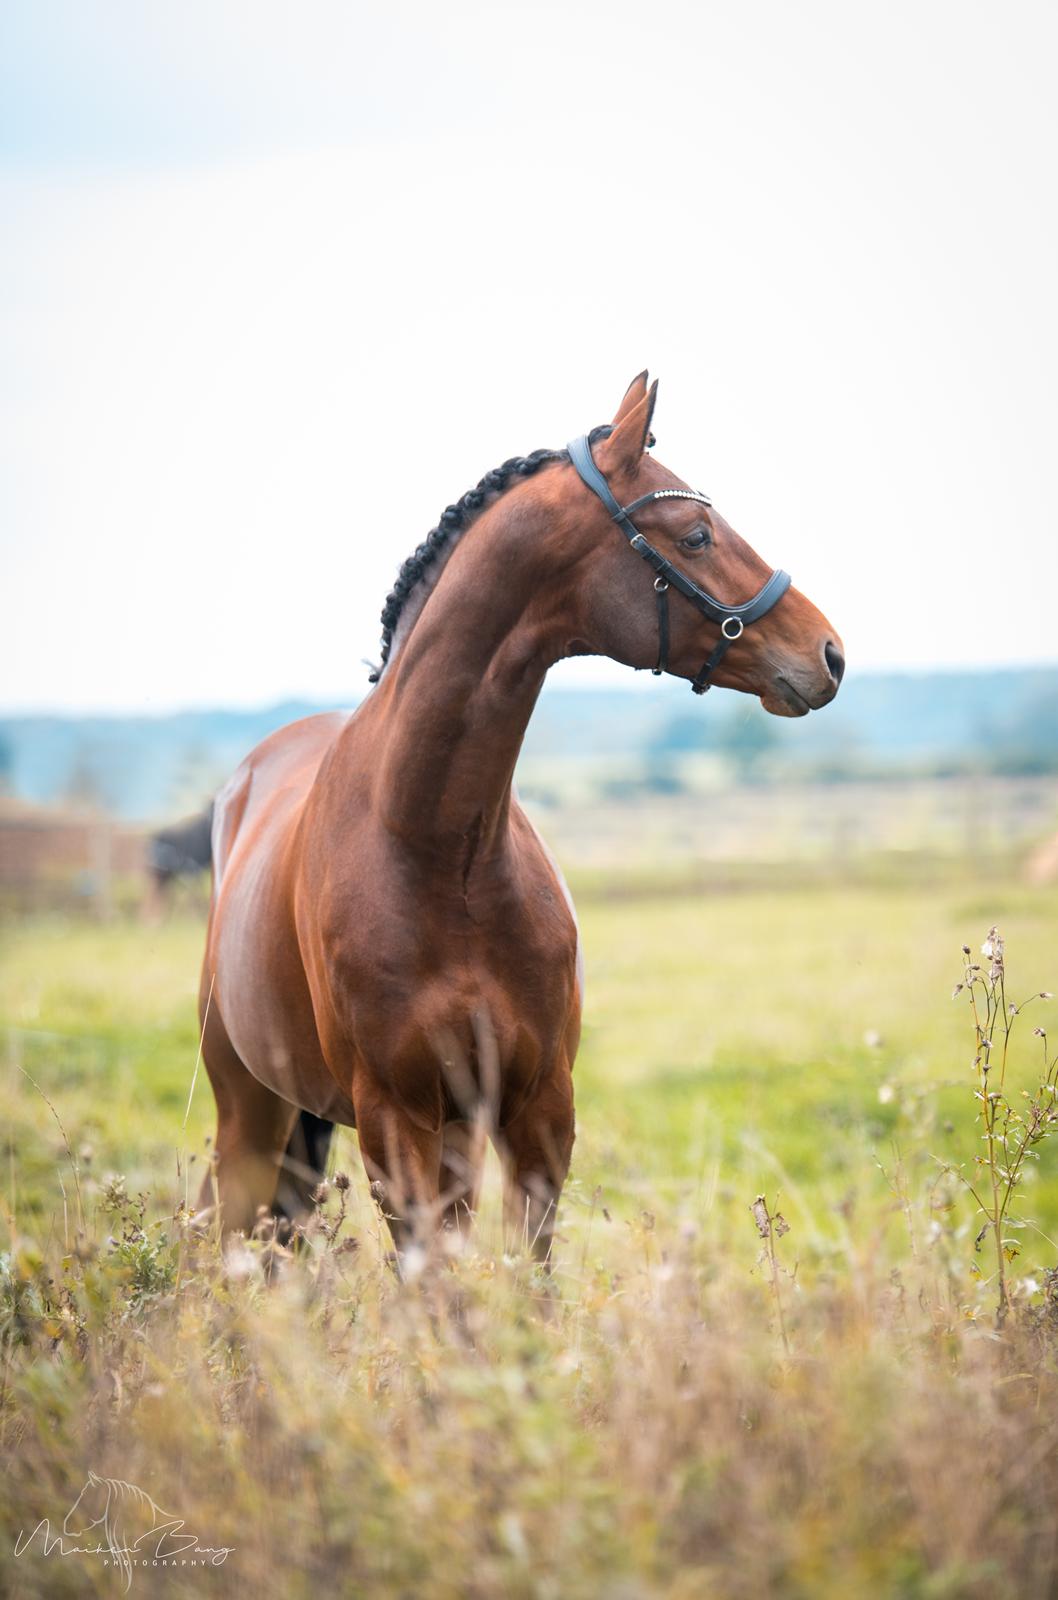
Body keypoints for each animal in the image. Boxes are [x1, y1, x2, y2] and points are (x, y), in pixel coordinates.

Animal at [198, 374, 838, 1260]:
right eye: (696, 534)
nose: (828, 653)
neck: (442, 849)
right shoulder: (394, 1123)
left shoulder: (537, 1111)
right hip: (252, 1116)